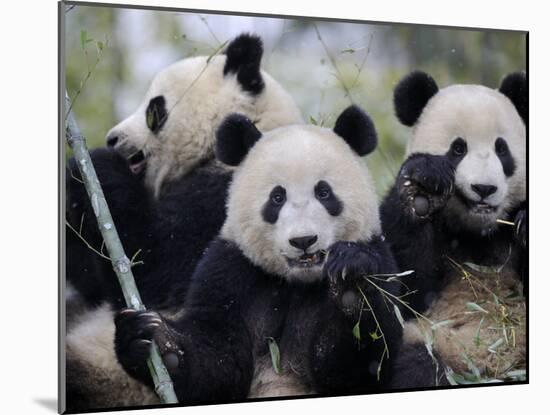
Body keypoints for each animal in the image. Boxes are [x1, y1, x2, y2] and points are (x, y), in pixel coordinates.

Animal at [68, 33, 306, 412]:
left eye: (154, 109)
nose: (112, 139)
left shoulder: (231, 199)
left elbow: (154, 269)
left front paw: (96, 165)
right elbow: (93, 281)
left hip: (113, 378)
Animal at [113, 105, 406, 406]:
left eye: (324, 192)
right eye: (277, 198)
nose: (303, 241)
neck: (296, 282)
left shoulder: (381, 255)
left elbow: (358, 367)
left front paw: (351, 285)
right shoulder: (229, 269)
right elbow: (217, 362)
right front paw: (152, 339)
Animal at [380, 71, 532, 390]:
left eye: (502, 149)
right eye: (458, 148)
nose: (484, 189)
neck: (476, 234)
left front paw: (525, 224)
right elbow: (404, 290)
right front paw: (423, 188)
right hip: (432, 343)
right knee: (415, 364)